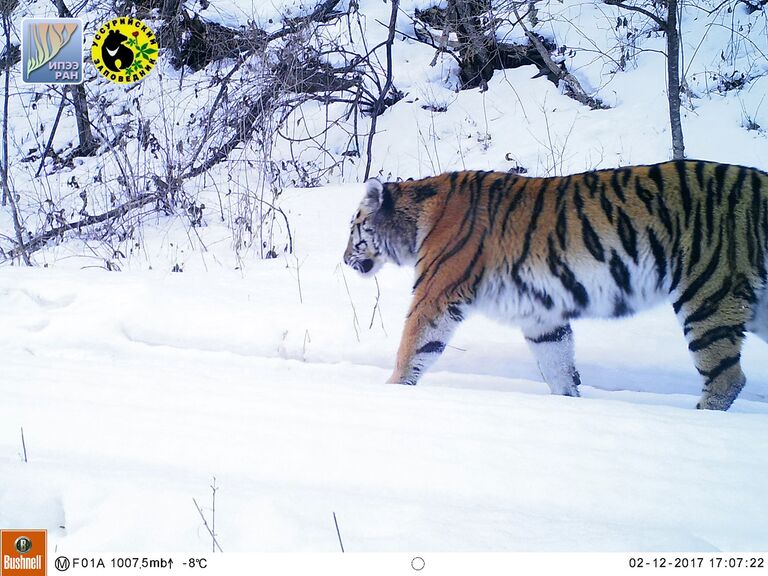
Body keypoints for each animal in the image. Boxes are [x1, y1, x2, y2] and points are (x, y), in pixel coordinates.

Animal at [344, 158, 768, 410]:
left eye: (353, 230)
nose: (345, 260)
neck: (415, 222)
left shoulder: (437, 292)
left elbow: (413, 347)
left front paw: (391, 390)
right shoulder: (540, 314)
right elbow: (558, 363)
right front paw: (569, 404)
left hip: (708, 293)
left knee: (727, 377)